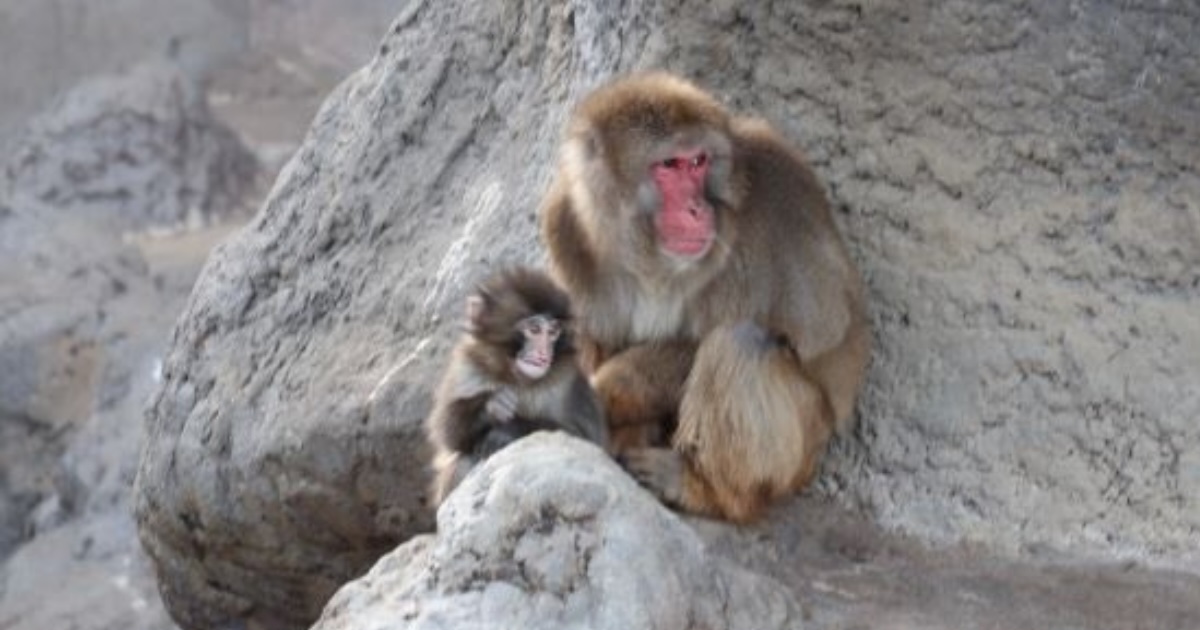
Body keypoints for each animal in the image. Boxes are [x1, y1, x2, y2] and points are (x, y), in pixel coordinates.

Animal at [425, 267, 608, 507]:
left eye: (553, 332)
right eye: (534, 329)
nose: (543, 352)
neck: (516, 376)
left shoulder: (570, 382)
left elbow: (587, 441)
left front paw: (508, 430)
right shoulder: (468, 365)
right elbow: (447, 433)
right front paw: (491, 405)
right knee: (464, 459)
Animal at [538, 72, 870, 523]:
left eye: (697, 162)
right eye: (669, 166)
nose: (697, 209)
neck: (648, 253)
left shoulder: (781, 185)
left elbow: (825, 333)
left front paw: (608, 389)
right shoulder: (564, 222)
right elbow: (588, 335)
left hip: (804, 447)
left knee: (741, 342)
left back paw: (702, 488)